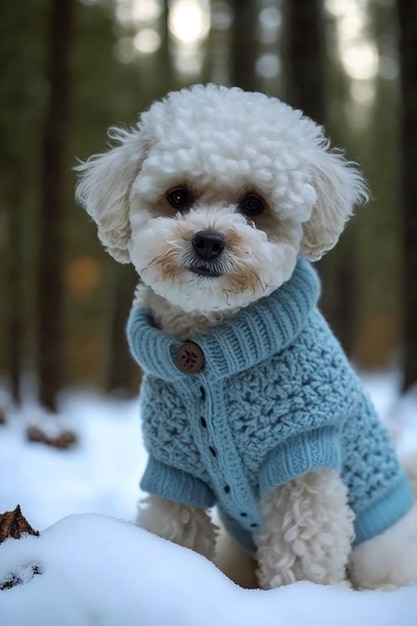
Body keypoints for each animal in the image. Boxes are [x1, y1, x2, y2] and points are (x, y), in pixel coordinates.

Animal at [76, 81, 416, 584]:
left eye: (254, 204)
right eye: (178, 196)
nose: (208, 240)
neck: (209, 342)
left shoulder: (302, 459)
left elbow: (301, 560)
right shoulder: (175, 472)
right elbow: (174, 534)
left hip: (379, 553)